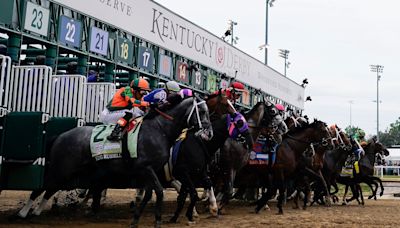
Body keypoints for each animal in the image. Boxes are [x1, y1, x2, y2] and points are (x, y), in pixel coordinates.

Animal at [18, 96, 212, 228]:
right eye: (202, 112)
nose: (209, 133)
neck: (160, 130)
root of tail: (60, 135)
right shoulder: (146, 168)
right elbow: (158, 192)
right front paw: (157, 220)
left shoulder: (150, 171)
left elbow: (149, 194)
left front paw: (136, 219)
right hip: (62, 167)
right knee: (42, 186)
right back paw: (24, 212)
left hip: (70, 170)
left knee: (51, 187)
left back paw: (36, 211)